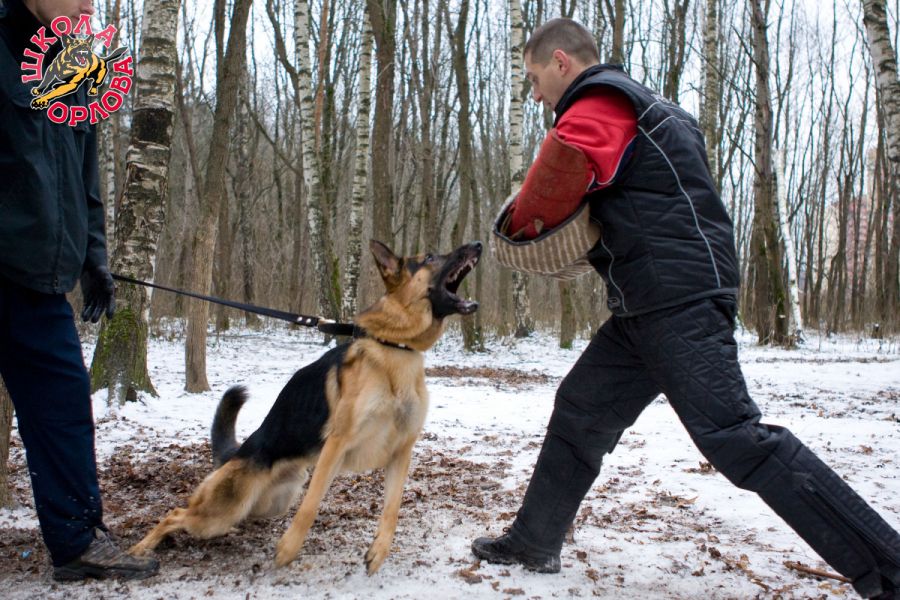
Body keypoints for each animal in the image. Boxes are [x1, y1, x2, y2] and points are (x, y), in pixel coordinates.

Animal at [130, 240, 482, 574]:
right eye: (429, 257)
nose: (478, 244)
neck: (396, 348)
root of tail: (238, 453)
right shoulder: (336, 446)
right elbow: (311, 504)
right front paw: (288, 549)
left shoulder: (401, 452)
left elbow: (392, 509)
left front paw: (378, 551)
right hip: (225, 507)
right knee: (175, 513)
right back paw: (140, 549)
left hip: (267, 504)